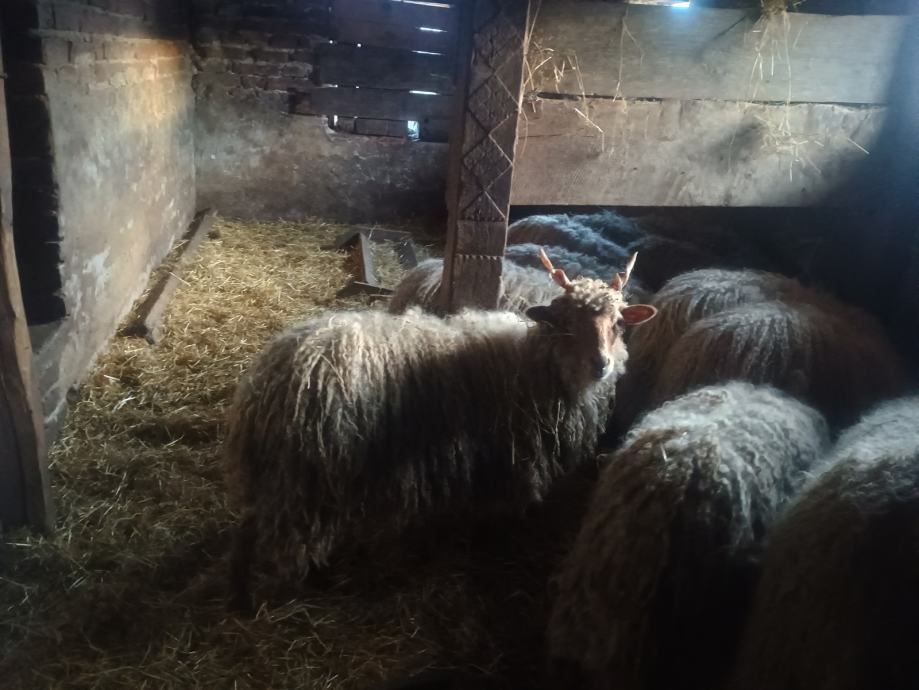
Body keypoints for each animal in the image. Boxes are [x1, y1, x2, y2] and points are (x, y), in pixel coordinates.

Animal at [226, 251, 658, 608]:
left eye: (619, 323)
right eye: (567, 323)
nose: (600, 365)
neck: (537, 364)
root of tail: (273, 375)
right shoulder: (503, 462)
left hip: (280, 476)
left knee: (248, 529)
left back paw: (242, 595)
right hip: (306, 478)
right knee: (282, 542)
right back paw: (284, 593)